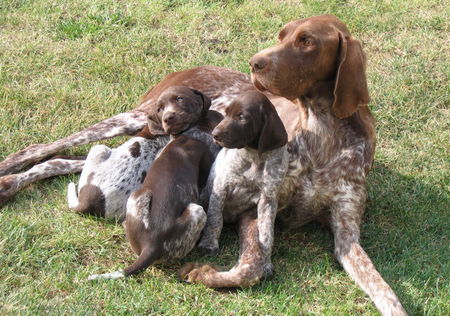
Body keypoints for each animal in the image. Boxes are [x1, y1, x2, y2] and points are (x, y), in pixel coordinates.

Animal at [67, 85, 221, 221]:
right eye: (159, 109)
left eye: (179, 98)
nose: (168, 117)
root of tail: (88, 204)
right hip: (99, 149)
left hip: (98, 149)